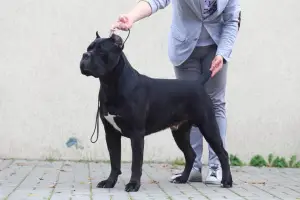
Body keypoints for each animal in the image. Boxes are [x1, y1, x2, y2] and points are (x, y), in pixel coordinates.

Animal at [79, 32, 232, 191]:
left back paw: (227, 181)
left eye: (101, 51)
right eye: (89, 48)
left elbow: (136, 163)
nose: (85, 55)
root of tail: (198, 83)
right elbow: (114, 161)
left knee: (223, 153)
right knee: (190, 155)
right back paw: (182, 178)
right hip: (180, 132)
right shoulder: (111, 133)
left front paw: (133, 184)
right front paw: (109, 182)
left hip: (208, 126)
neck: (110, 84)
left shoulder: (137, 134)